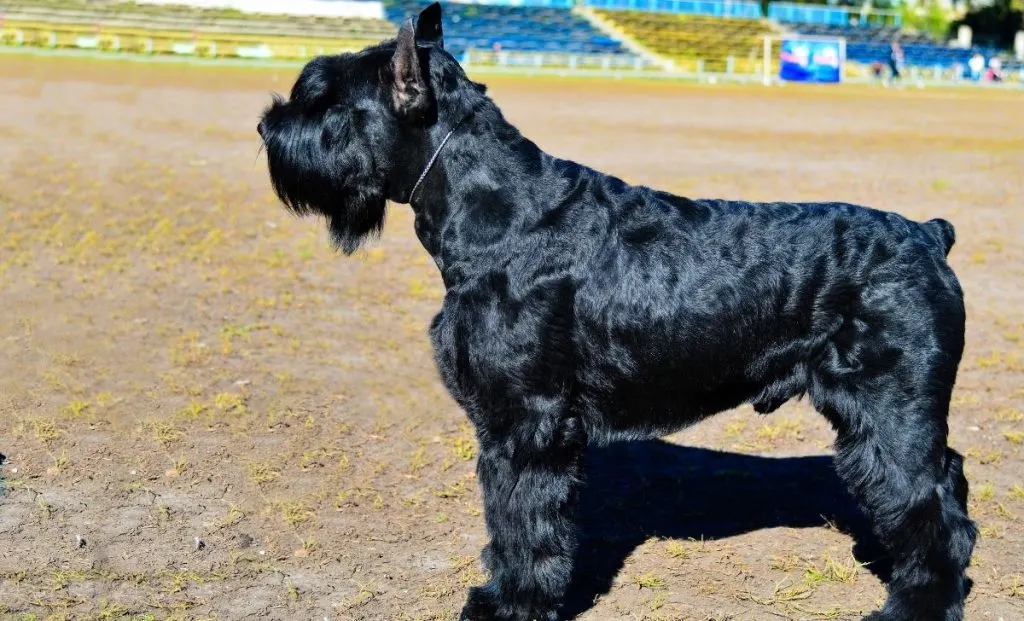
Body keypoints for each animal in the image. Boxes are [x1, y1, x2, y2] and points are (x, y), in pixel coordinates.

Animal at [258, 3, 974, 618]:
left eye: (323, 97)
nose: (266, 127)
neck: (502, 213)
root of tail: (928, 235)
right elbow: (510, 522)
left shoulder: (526, 423)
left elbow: (524, 523)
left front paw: (511, 605)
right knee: (949, 490)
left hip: (892, 415)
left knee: (933, 512)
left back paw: (913, 605)